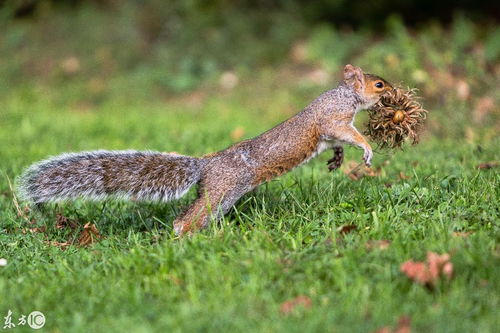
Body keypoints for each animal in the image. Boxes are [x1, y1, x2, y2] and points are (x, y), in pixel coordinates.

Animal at [16, 65, 394, 235]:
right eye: (379, 84)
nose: (393, 93)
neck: (345, 96)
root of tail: (205, 166)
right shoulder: (333, 119)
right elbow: (345, 133)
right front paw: (365, 150)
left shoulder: (331, 129)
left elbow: (336, 142)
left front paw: (338, 158)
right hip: (223, 191)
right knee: (188, 218)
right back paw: (184, 237)